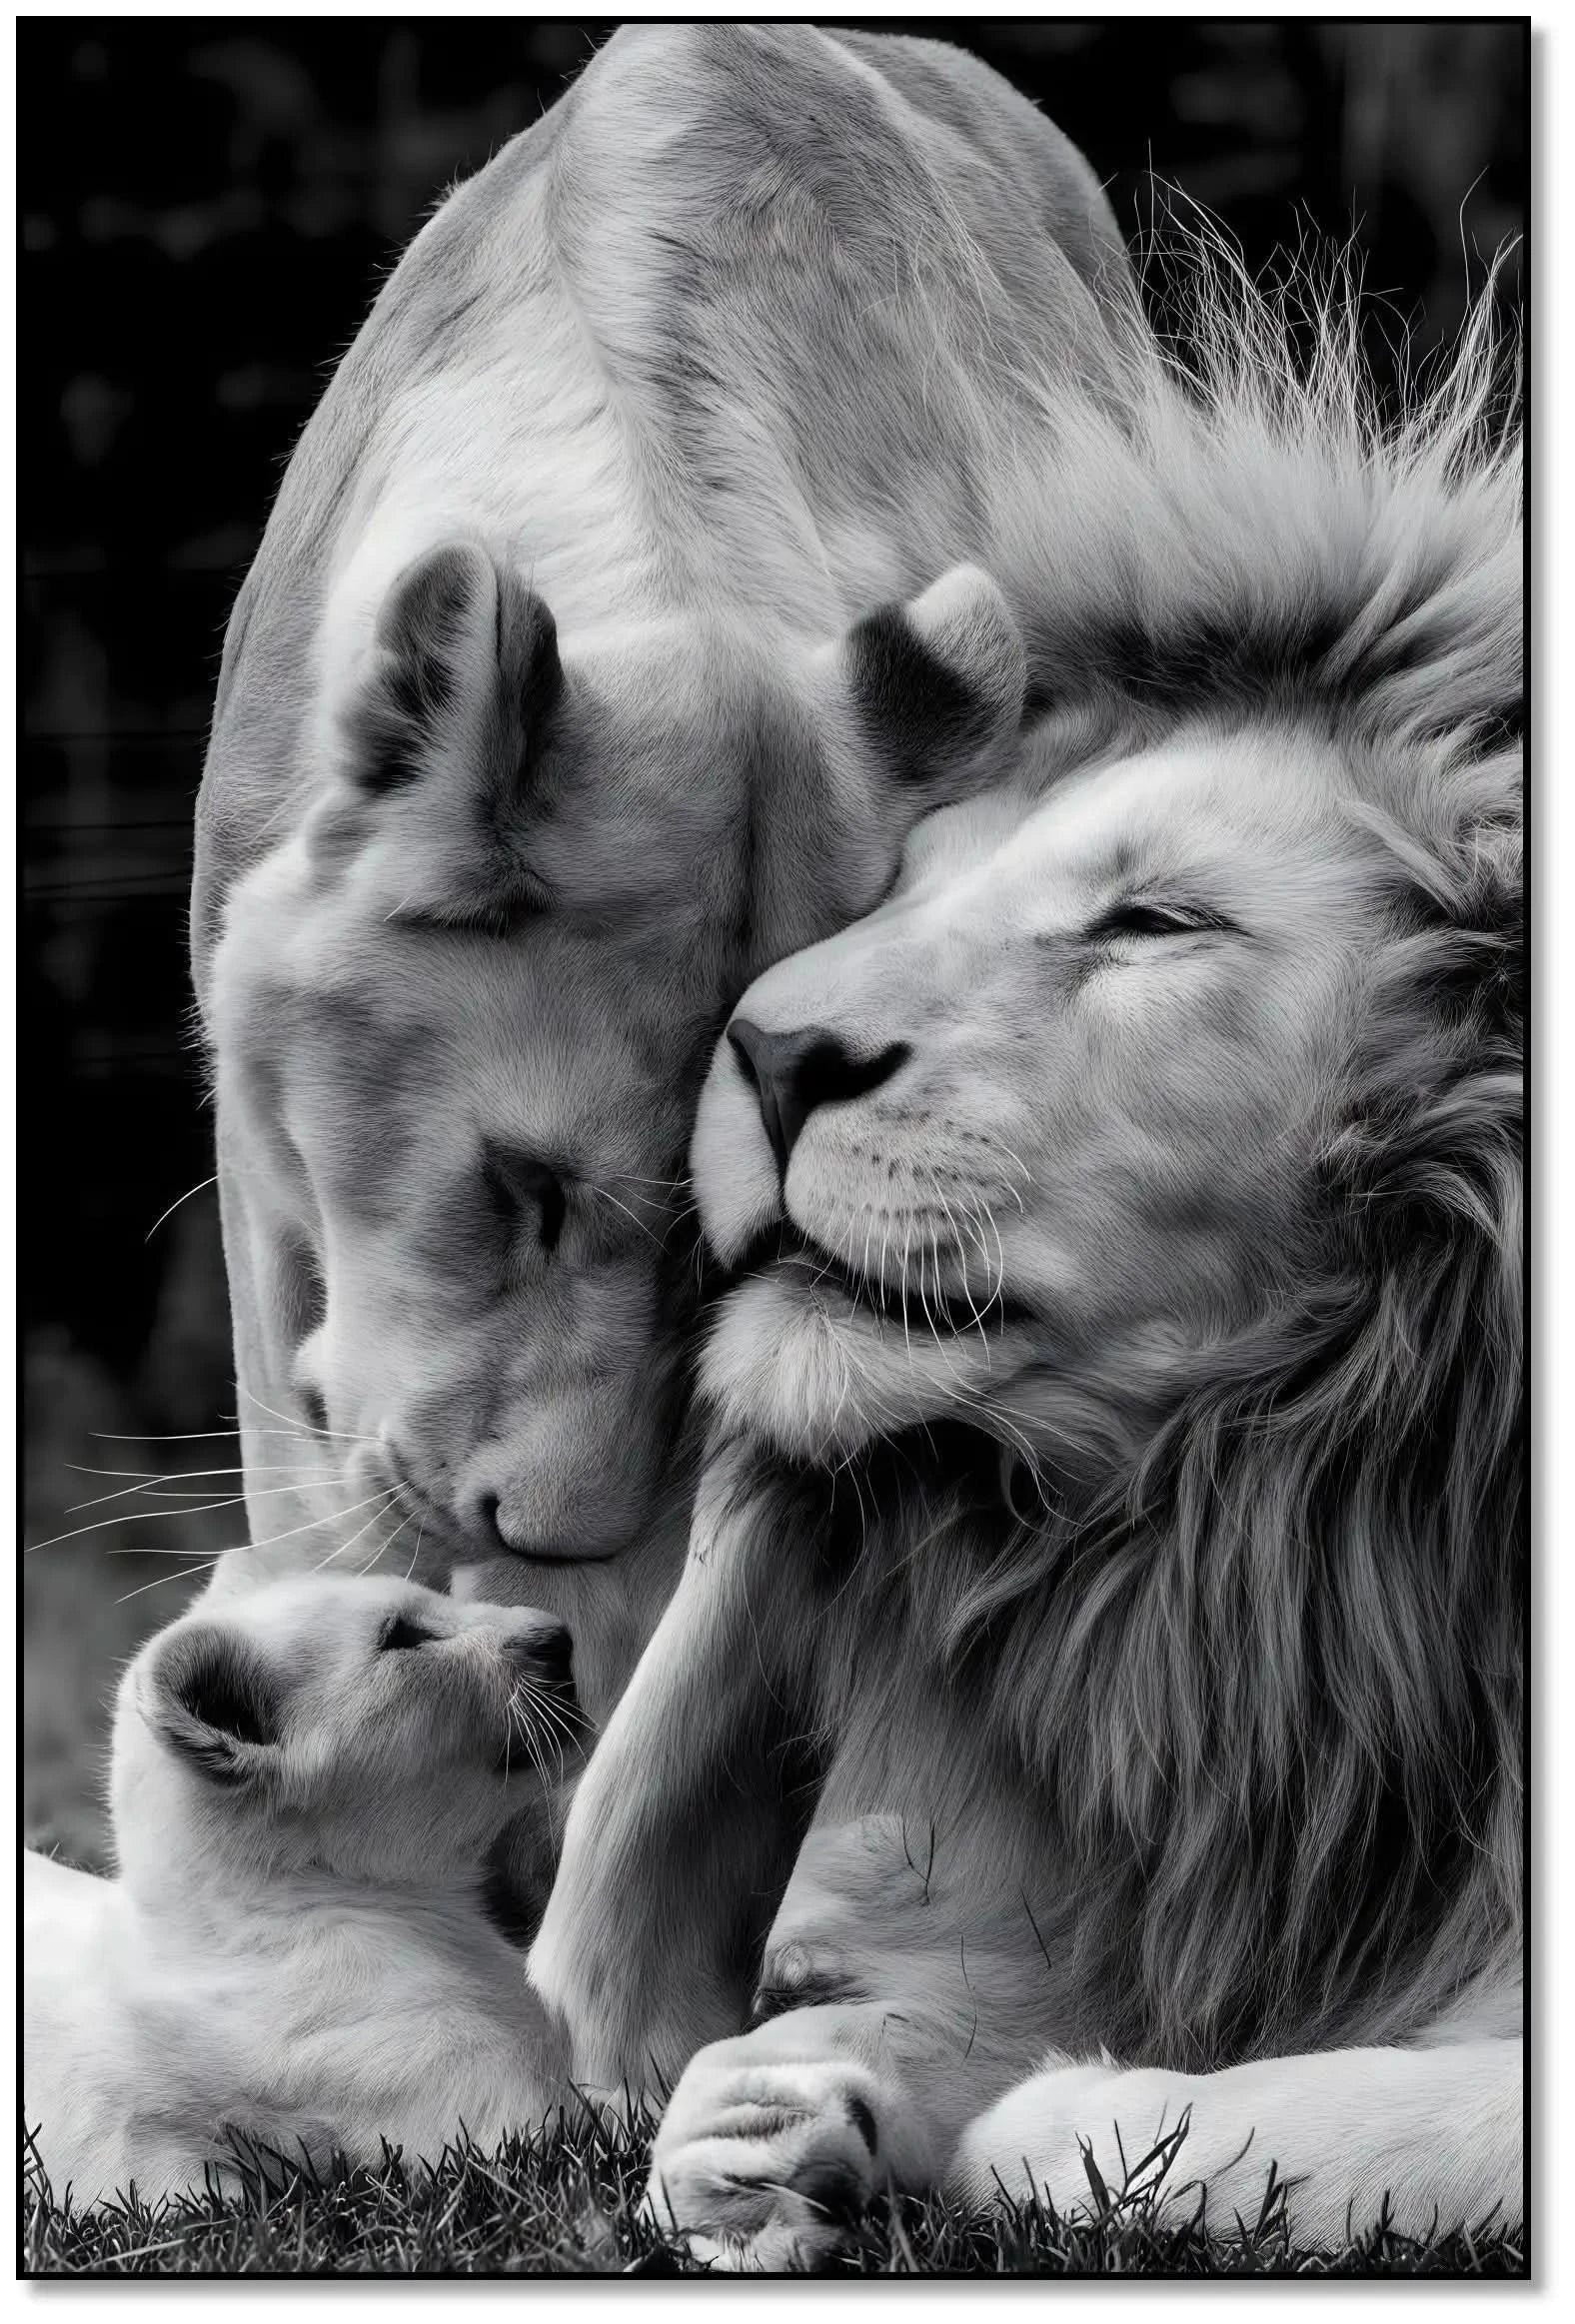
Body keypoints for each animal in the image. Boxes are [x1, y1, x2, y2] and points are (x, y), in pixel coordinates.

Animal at [529, 254, 1524, 2265]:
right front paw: (776, 2114)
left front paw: (1057, 2119)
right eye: (910, 888)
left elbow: (1408, 2110)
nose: (767, 1052)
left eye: (1154, 921)